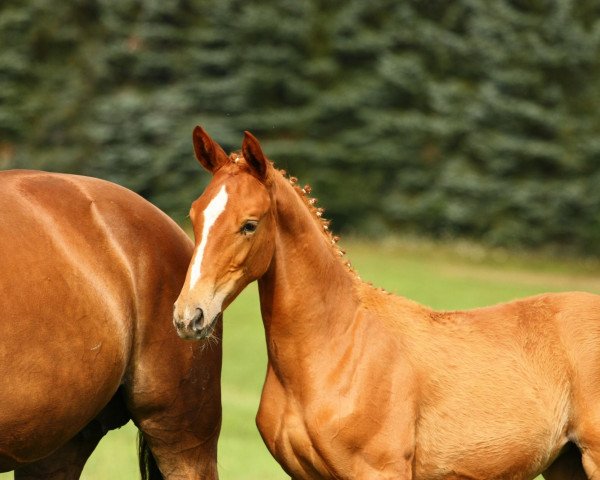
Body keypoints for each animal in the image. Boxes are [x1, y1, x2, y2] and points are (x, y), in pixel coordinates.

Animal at [175, 125, 600, 478]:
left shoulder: (379, 470)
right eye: (194, 216)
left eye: (249, 224)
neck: (336, 346)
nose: (188, 316)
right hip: (566, 465)